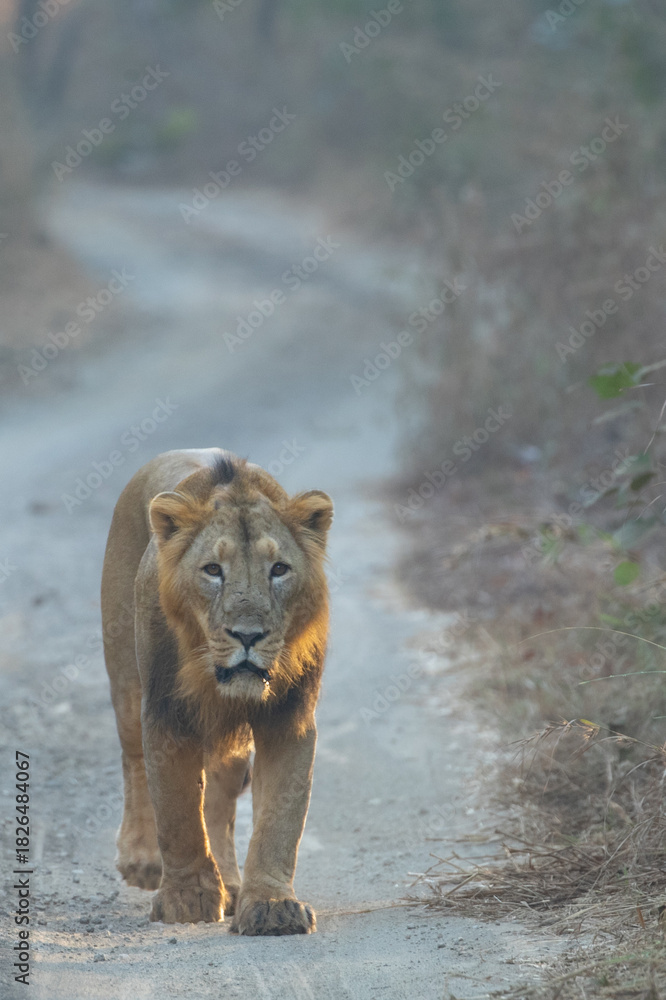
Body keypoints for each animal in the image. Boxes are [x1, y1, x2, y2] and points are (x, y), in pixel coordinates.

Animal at [100, 448, 333, 934]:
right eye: (212, 570)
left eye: (279, 569)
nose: (248, 635)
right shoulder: (167, 714)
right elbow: (178, 812)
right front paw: (186, 898)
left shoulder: (289, 716)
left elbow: (278, 819)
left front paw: (271, 905)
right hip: (127, 685)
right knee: (134, 761)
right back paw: (142, 860)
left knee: (221, 800)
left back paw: (230, 882)